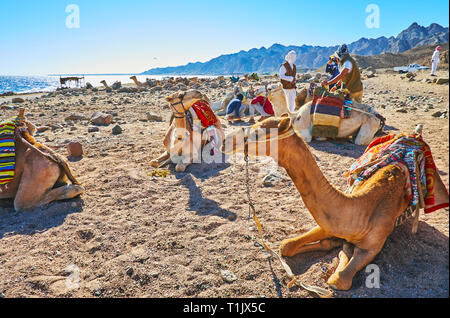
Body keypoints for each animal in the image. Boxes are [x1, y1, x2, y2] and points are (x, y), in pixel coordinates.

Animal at [222, 117, 440, 290]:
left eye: (257, 132)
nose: (225, 141)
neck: (362, 208)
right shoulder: (330, 223)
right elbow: (286, 246)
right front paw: (338, 246)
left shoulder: (373, 246)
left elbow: (339, 280)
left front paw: (343, 251)